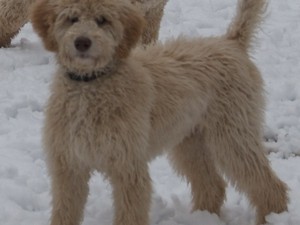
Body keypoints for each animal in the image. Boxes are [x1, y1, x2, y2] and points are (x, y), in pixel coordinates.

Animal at [29, 0, 288, 225]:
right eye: (71, 18)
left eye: (102, 20)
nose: (82, 42)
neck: (91, 85)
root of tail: (231, 42)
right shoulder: (69, 167)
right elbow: (65, 212)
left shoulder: (128, 167)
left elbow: (130, 214)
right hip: (190, 141)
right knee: (212, 185)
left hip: (233, 135)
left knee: (269, 185)